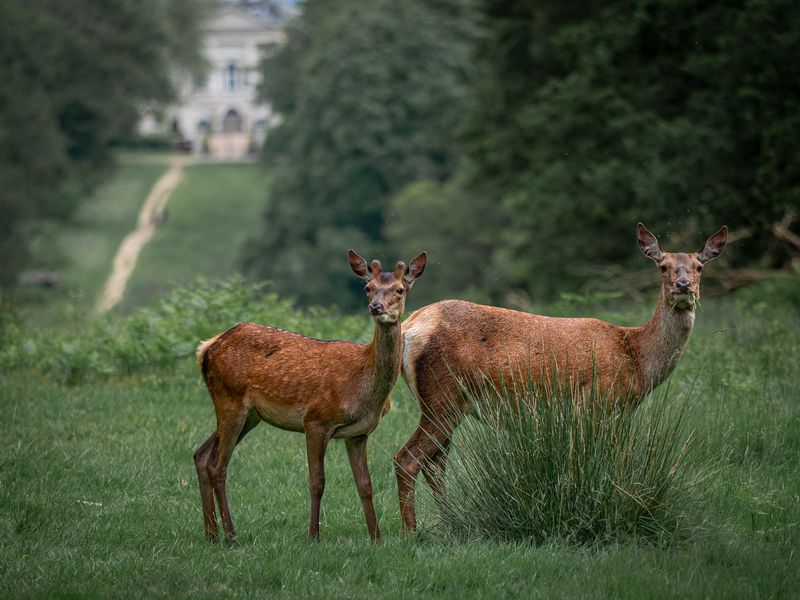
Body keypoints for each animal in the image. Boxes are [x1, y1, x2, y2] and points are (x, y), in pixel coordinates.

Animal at [193, 250, 427, 542]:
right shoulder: (316, 420)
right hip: (229, 400)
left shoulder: (359, 433)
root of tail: (205, 348)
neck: (363, 388)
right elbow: (317, 482)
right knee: (218, 466)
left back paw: (211, 534)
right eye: (368, 288)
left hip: (249, 415)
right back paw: (231, 535)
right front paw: (313, 535)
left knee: (201, 455)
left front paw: (376, 537)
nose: (376, 307)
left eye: (399, 289)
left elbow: (365, 485)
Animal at [394, 223, 727, 533]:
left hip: (441, 402)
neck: (637, 358)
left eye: (699, 266)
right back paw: (411, 531)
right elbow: (601, 461)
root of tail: (409, 327)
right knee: (407, 459)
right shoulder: (599, 400)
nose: (683, 286)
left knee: (434, 463)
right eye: (663, 266)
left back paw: (451, 521)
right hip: (444, 395)